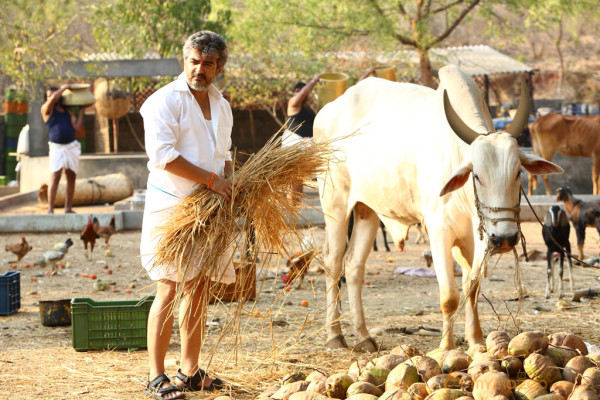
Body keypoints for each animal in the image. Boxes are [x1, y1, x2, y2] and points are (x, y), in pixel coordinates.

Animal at [314, 65, 564, 350]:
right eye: (477, 175)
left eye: (518, 172)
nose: (505, 239)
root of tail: (327, 110)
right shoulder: (439, 233)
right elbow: (449, 295)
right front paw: (446, 347)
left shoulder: (474, 239)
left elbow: (472, 288)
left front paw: (475, 341)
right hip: (335, 203)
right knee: (333, 262)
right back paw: (335, 335)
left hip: (367, 209)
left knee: (354, 265)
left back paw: (364, 337)